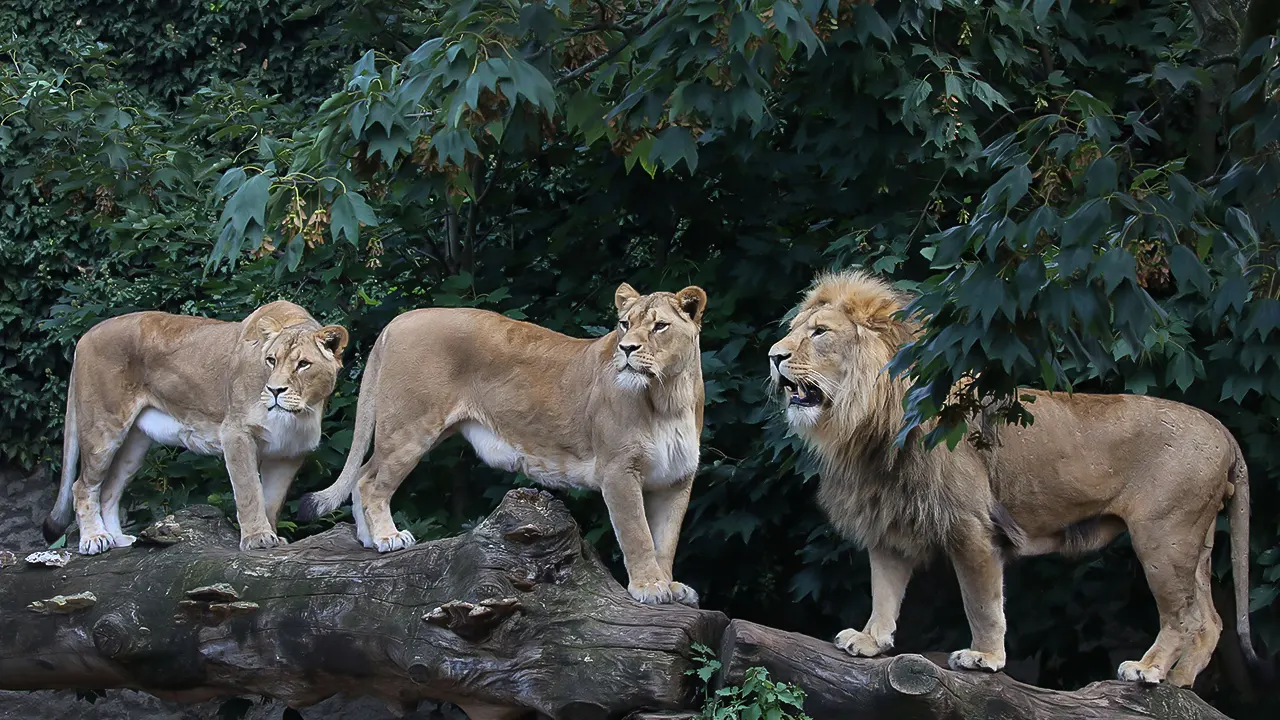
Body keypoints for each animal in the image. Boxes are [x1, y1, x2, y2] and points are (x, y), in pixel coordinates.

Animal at [43, 299, 350, 550]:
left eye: (303, 364)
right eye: (271, 360)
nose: (275, 390)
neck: (300, 413)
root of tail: (85, 336)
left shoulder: (289, 451)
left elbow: (272, 501)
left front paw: (273, 536)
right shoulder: (236, 433)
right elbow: (249, 491)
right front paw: (257, 538)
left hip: (134, 445)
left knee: (108, 490)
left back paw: (118, 539)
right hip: (103, 430)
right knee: (82, 486)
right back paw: (95, 539)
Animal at [294, 283, 706, 602]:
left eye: (660, 326)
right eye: (624, 325)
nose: (626, 349)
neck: (669, 395)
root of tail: (397, 322)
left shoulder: (676, 478)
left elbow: (666, 539)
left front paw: (671, 586)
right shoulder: (618, 470)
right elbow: (638, 534)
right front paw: (650, 587)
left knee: (363, 473)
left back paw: (368, 539)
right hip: (410, 429)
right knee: (369, 482)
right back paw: (387, 538)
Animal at [768, 269, 1259, 681]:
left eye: (820, 332)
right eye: (795, 328)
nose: (773, 356)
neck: (867, 424)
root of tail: (1224, 430)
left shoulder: (971, 525)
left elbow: (981, 601)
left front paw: (984, 657)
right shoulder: (890, 516)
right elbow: (883, 588)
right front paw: (871, 639)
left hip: (1163, 537)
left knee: (1184, 617)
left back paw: (1147, 669)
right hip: (1195, 541)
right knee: (1210, 621)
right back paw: (1178, 685)